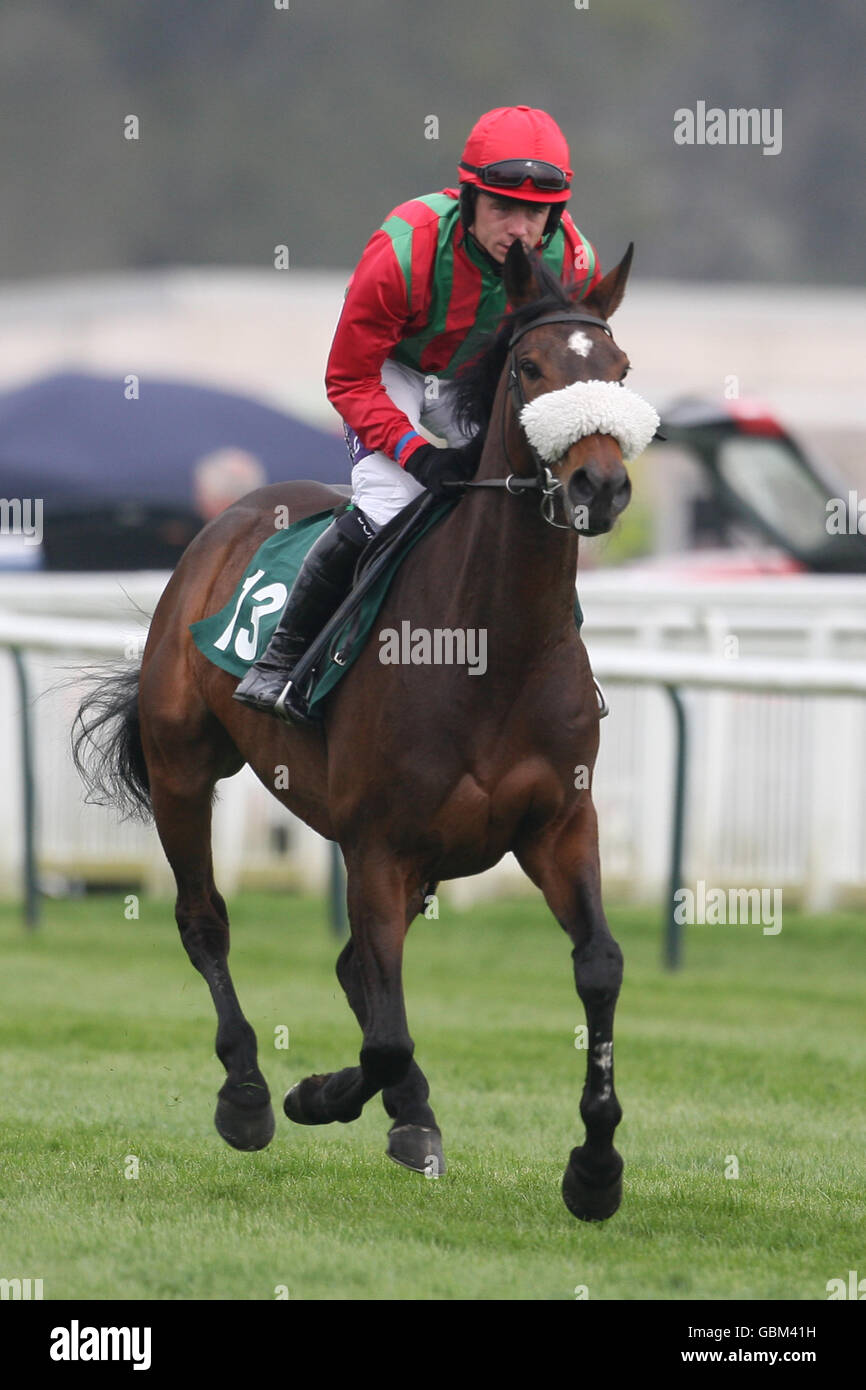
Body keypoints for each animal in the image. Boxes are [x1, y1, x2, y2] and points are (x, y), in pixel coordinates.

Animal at [74, 244, 656, 1223]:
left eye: (619, 370)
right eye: (532, 370)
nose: (600, 485)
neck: (490, 647)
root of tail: (229, 514)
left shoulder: (558, 826)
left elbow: (601, 968)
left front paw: (597, 1167)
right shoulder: (379, 842)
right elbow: (383, 1036)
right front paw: (315, 1096)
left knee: (357, 970)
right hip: (185, 766)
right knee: (207, 922)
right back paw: (248, 1094)